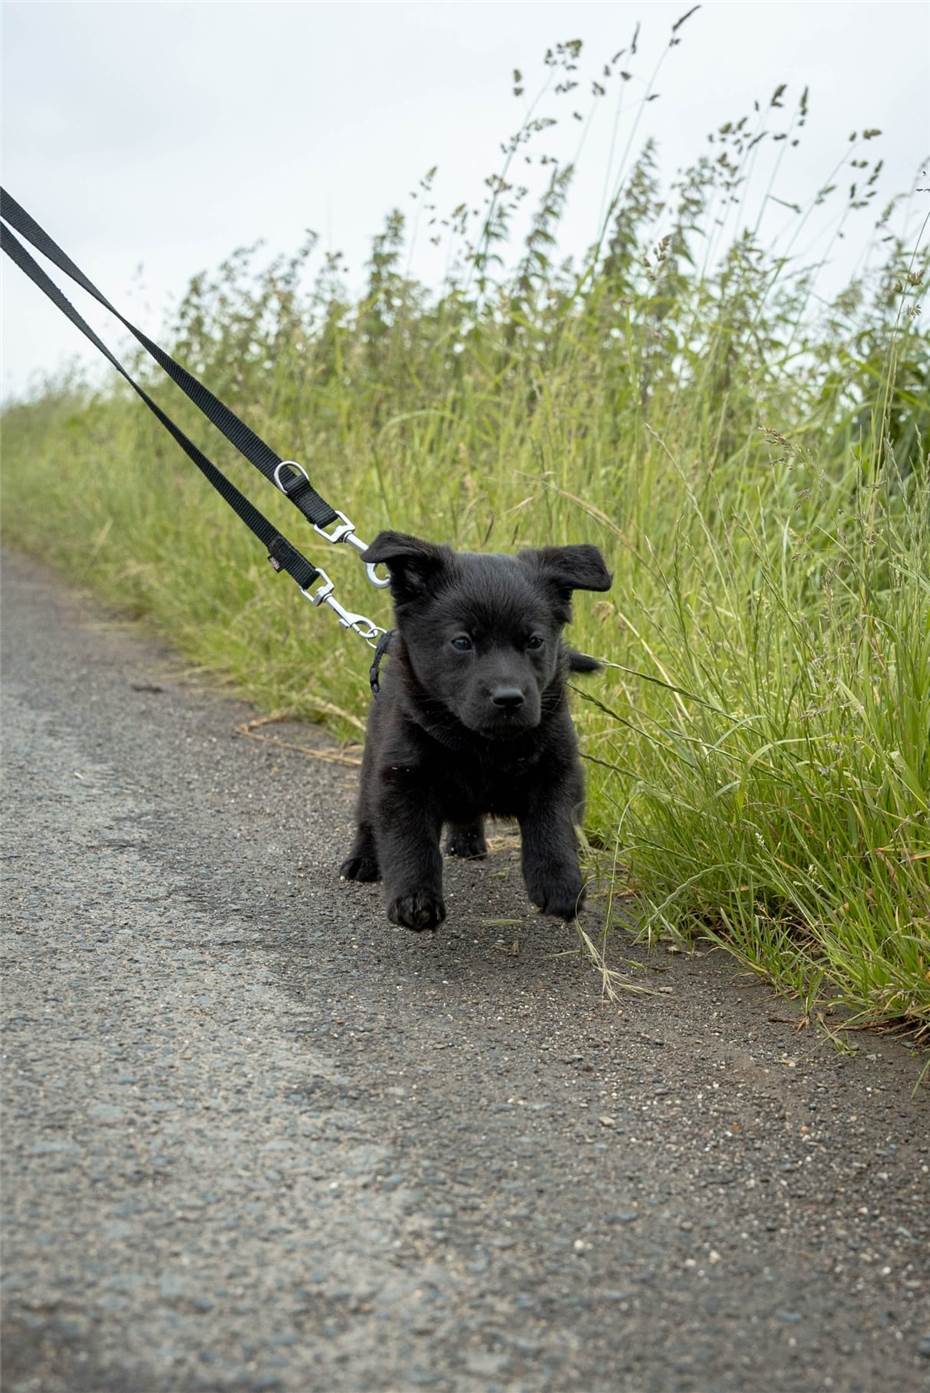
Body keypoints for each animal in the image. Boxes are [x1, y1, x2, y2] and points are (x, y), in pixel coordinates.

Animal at [339, 526, 609, 930]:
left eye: (534, 641)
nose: (509, 698)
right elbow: (410, 842)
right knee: (366, 815)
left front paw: (560, 885)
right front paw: (415, 899)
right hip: (373, 754)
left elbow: (554, 827)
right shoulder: (402, 777)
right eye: (462, 642)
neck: (481, 743)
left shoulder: (558, 769)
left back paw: (467, 841)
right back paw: (362, 860)